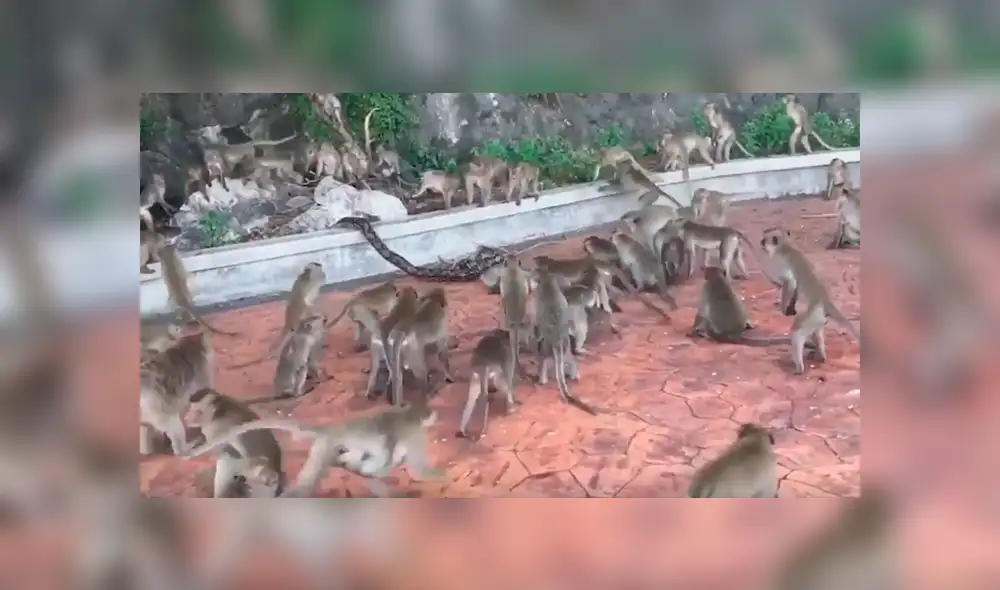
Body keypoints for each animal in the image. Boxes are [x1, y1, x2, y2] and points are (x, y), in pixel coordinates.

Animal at [184, 403, 444, 498]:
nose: (434, 415)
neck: (409, 413)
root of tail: (331, 427)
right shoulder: (415, 435)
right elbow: (417, 469)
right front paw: (442, 475)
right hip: (326, 446)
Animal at [531, 265, 599, 415]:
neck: (546, 278)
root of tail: (557, 340)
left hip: (549, 345)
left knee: (545, 358)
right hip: (564, 345)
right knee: (566, 358)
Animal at [760, 227, 861, 374]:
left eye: (764, 240)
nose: (761, 244)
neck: (787, 245)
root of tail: (826, 301)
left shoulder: (781, 261)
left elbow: (790, 283)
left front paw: (784, 307)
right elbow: (794, 288)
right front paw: (790, 306)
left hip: (813, 315)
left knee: (797, 331)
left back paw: (799, 367)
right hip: (819, 318)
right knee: (816, 332)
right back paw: (821, 356)